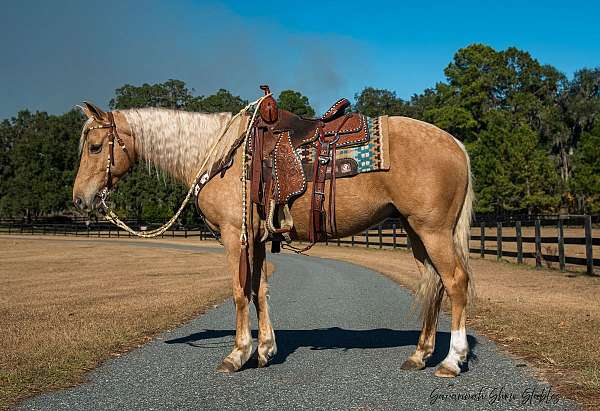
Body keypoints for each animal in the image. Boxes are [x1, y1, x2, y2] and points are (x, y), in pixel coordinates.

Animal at [72, 101, 474, 378]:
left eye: (94, 147)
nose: (80, 199)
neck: (223, 156)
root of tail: (455, 143)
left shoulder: (234, 236)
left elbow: (238, 292)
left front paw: (237, 354)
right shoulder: (258, 239)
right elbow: (259, 290)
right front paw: (264, 350)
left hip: (433, 230)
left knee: (455, 282)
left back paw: (452, 360)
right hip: (415, 231)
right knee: (434, 284)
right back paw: (420, 355)